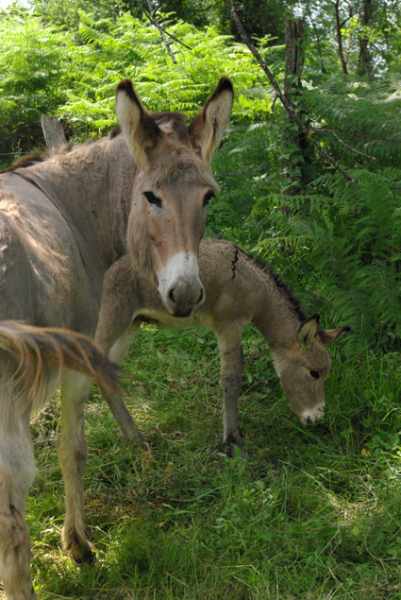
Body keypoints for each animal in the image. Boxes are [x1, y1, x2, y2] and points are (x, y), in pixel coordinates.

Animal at [95, 239, 348, 450]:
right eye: (314, 373)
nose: (316, 419)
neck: (253, 285)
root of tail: (110, 270)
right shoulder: (229, 326)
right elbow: (231, 378)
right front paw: (232, 439)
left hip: (132, 326)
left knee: (108, 373)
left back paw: (132, 437)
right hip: (115, 317)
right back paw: (133, 438)